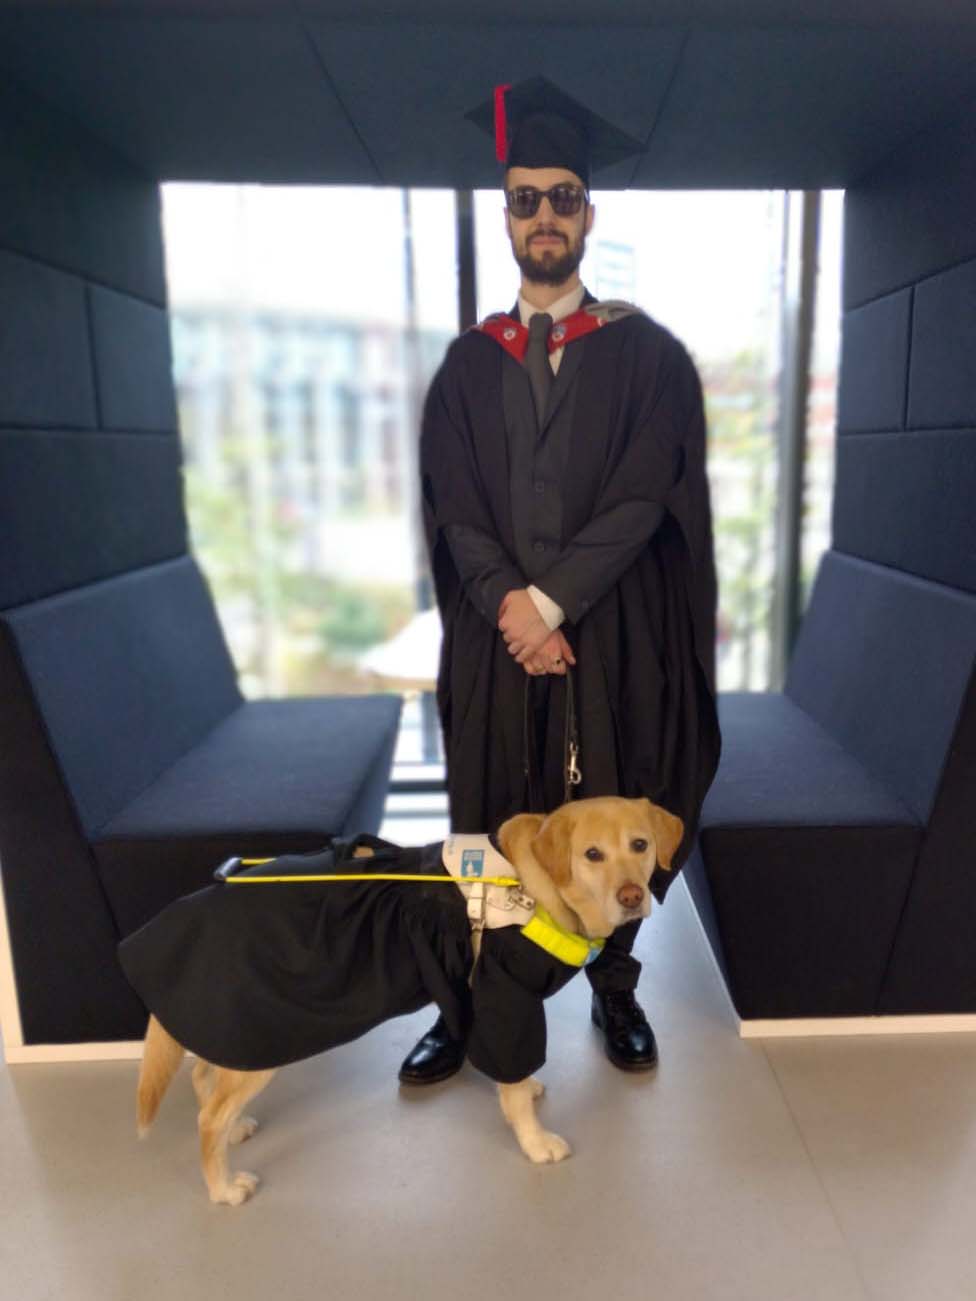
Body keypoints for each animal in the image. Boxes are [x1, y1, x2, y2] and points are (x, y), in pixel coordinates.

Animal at [130, 796, 681, 1202]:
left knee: (204, 1077)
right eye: (592, 855)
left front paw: (528, 1090)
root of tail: (189, 909)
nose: (632, 896)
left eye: (640, 845)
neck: (532, 888)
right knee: (206, 1116)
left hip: (239, 1030)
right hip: (262, 1031)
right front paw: (534, 1139)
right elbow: (513, 1082)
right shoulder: (507, 997)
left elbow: (514, 1076)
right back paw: (222, 1187)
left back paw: (234, 1130)